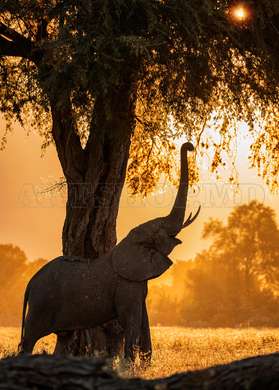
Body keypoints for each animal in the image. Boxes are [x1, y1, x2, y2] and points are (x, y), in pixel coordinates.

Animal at [19, 142, 199, 362]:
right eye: (159, 230)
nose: (190, 147)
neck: (128, 243)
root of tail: (30, 283)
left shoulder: (136, 282)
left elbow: (142, 319)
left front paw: (142, 363)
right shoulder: (126, 284)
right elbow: (131, 321)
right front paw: (129, 364)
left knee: (63, 339)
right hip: (41, 302)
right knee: (30, 338)